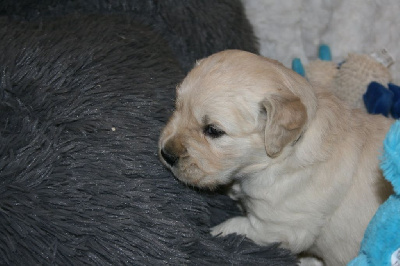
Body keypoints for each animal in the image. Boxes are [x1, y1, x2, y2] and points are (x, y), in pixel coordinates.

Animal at [158, 50, 392, 266]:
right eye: (177, 106)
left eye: (213, 130)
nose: (166, 154)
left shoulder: (278, 226)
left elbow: (233, 227)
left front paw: (212, 234)